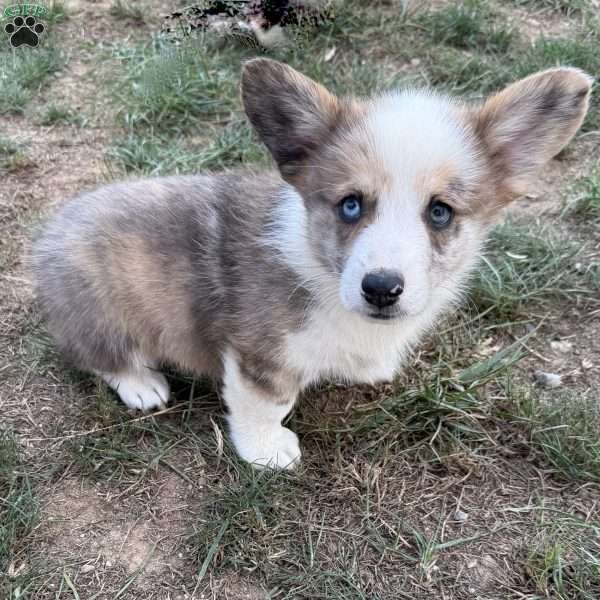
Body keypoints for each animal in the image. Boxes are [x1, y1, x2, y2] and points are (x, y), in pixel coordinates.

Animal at [31, 57, 592, 468]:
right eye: (351, 204)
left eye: (440, 212)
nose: (381, 288)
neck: (322, 270)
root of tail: (46, 235)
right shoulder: (260, 354)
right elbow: (267, 404)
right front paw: (267, 452)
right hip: (97, 304)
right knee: (99, 355)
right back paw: (142, 384)